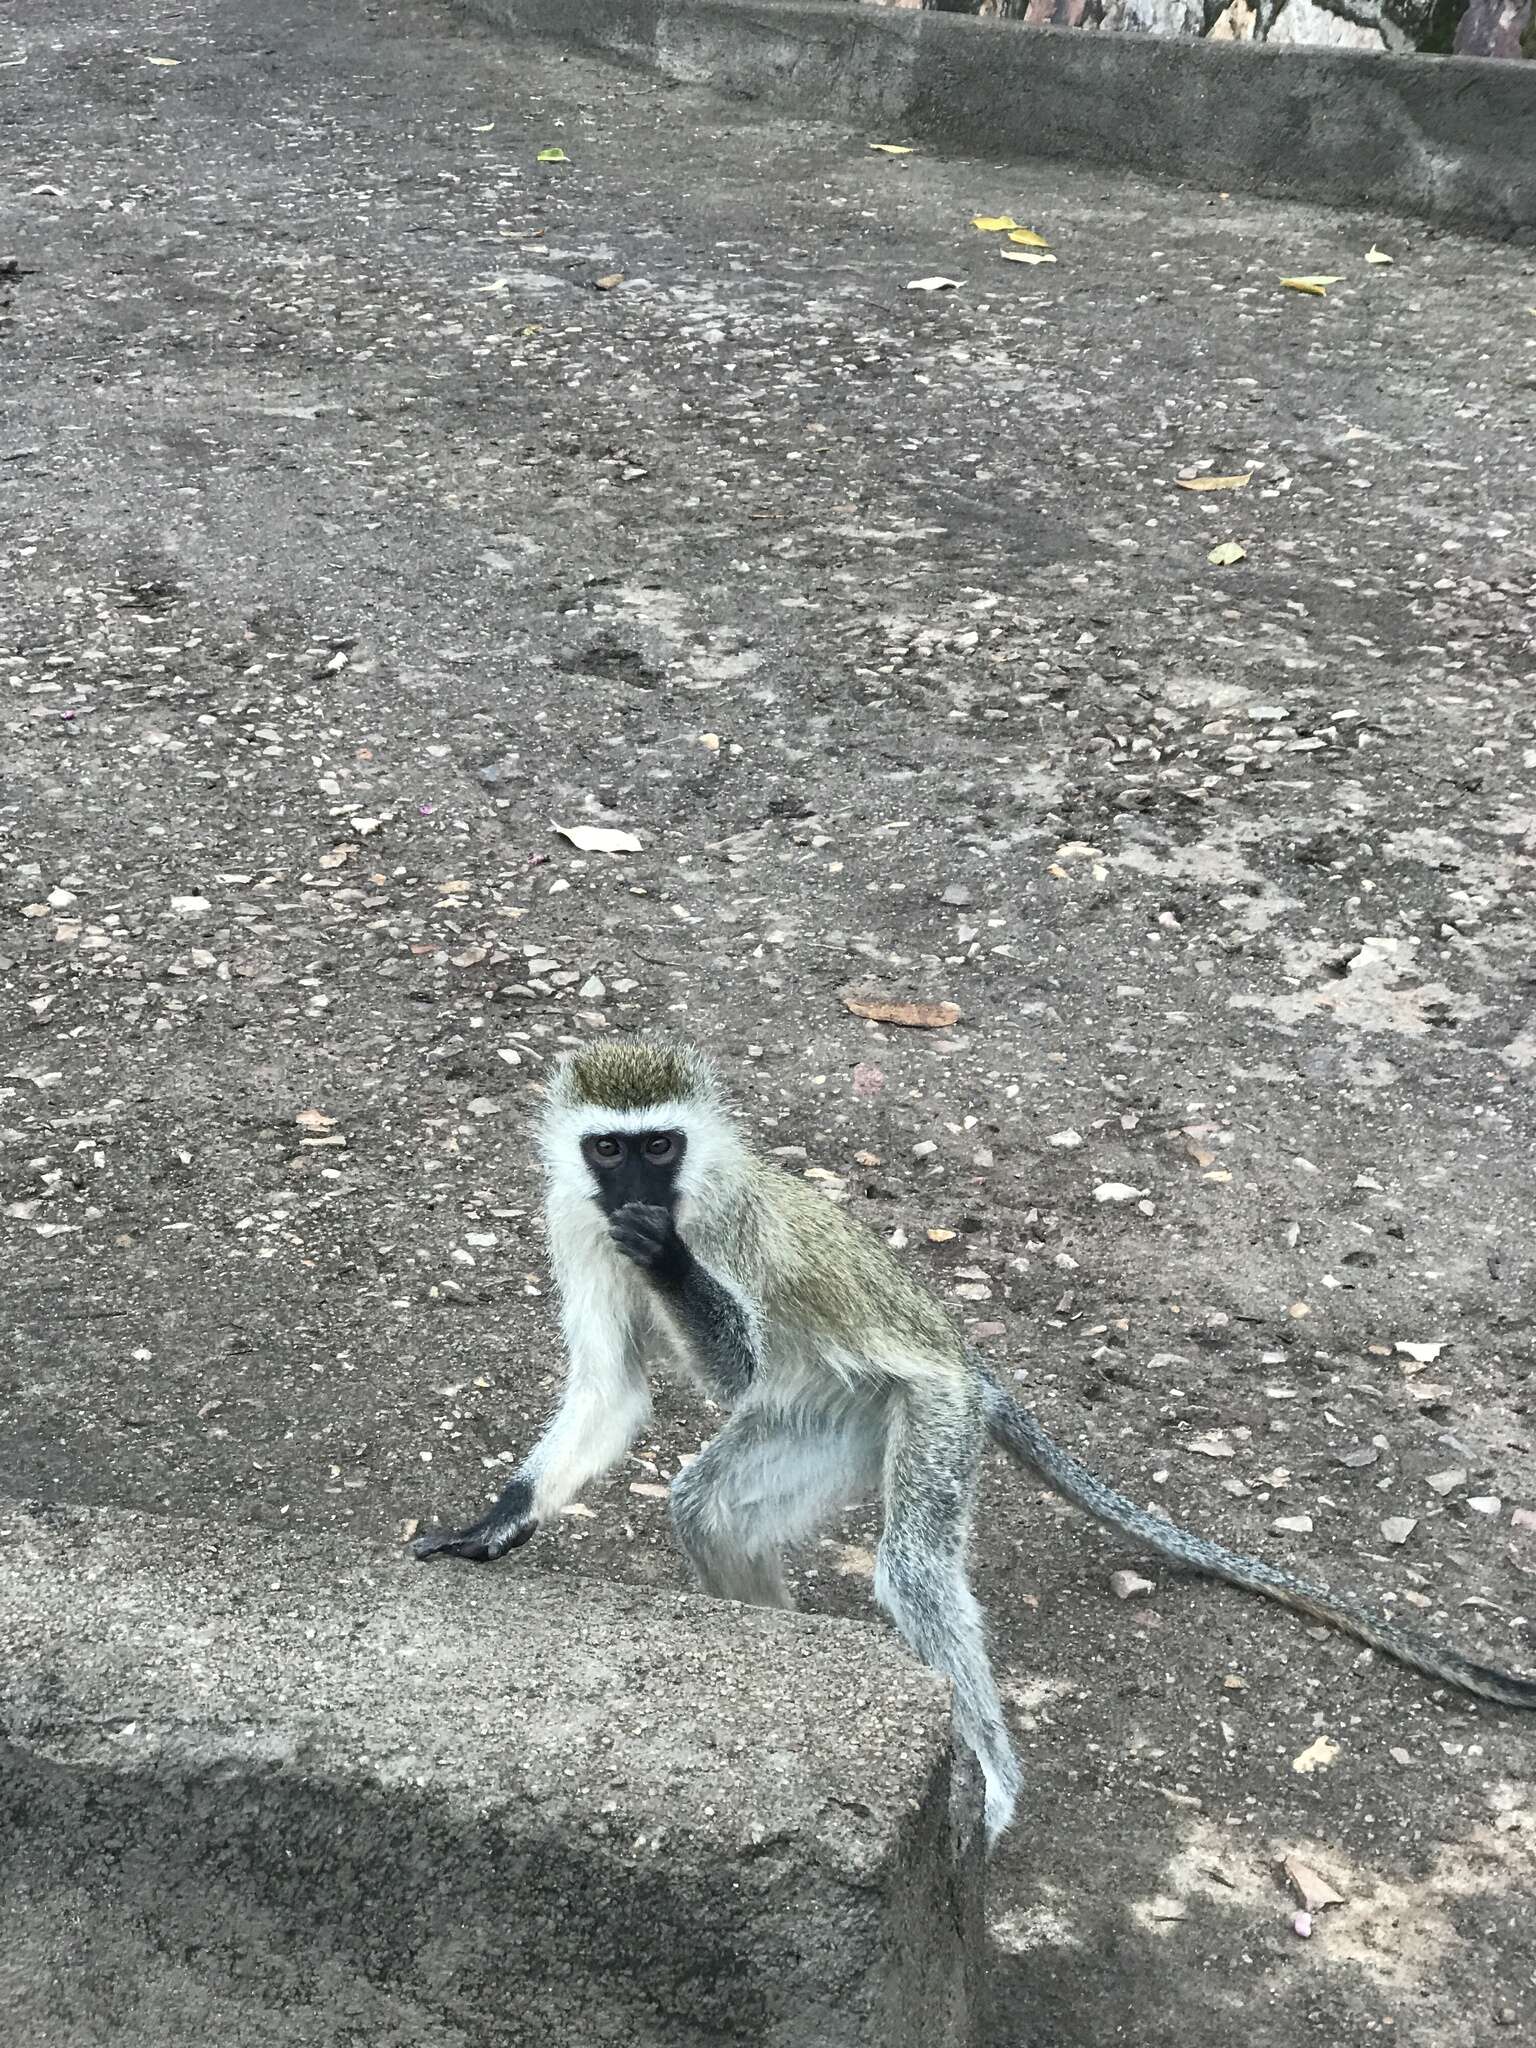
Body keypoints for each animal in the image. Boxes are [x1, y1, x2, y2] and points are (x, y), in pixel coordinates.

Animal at [411, 1040, 1536, 1843]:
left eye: (661, 1146)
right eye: (609, 1146)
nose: (640, 1195)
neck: (660, 1205)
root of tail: (964, 1356)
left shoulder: (722, 1224)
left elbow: (731, 1364)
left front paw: (669, 1258)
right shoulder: (575, 1215)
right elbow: (611, 1389)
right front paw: (496, 1521)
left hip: (934, 1411)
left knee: (912, 1566)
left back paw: (991, 1778)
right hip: (840, 1419)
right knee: (712, 1507)